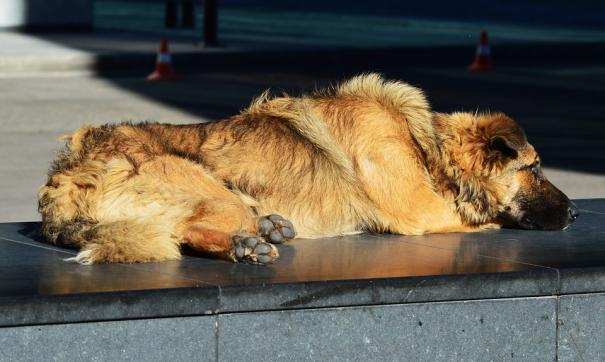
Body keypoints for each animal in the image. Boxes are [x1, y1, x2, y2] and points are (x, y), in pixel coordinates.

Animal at [36, 74, 576, 266]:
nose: (575, 216)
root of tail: (64, 176)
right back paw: (247, 246)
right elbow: (485, 220)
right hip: (209, 187)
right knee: (186, 228)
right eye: (535, 168)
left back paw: (268, 228)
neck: (426, 145)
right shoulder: (424, 213)